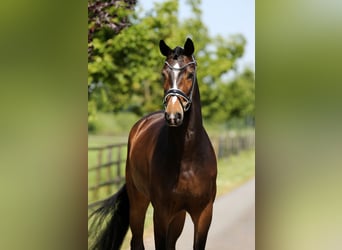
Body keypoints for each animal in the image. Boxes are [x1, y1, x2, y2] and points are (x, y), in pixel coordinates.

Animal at [88, 37, 216, 250]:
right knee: (137, 241)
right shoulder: (161, 213)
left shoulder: (204, 213)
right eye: (163, 74)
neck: (187, 157)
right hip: (138, 202)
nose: (173, 115)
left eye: (190, 74)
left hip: (178, 215)